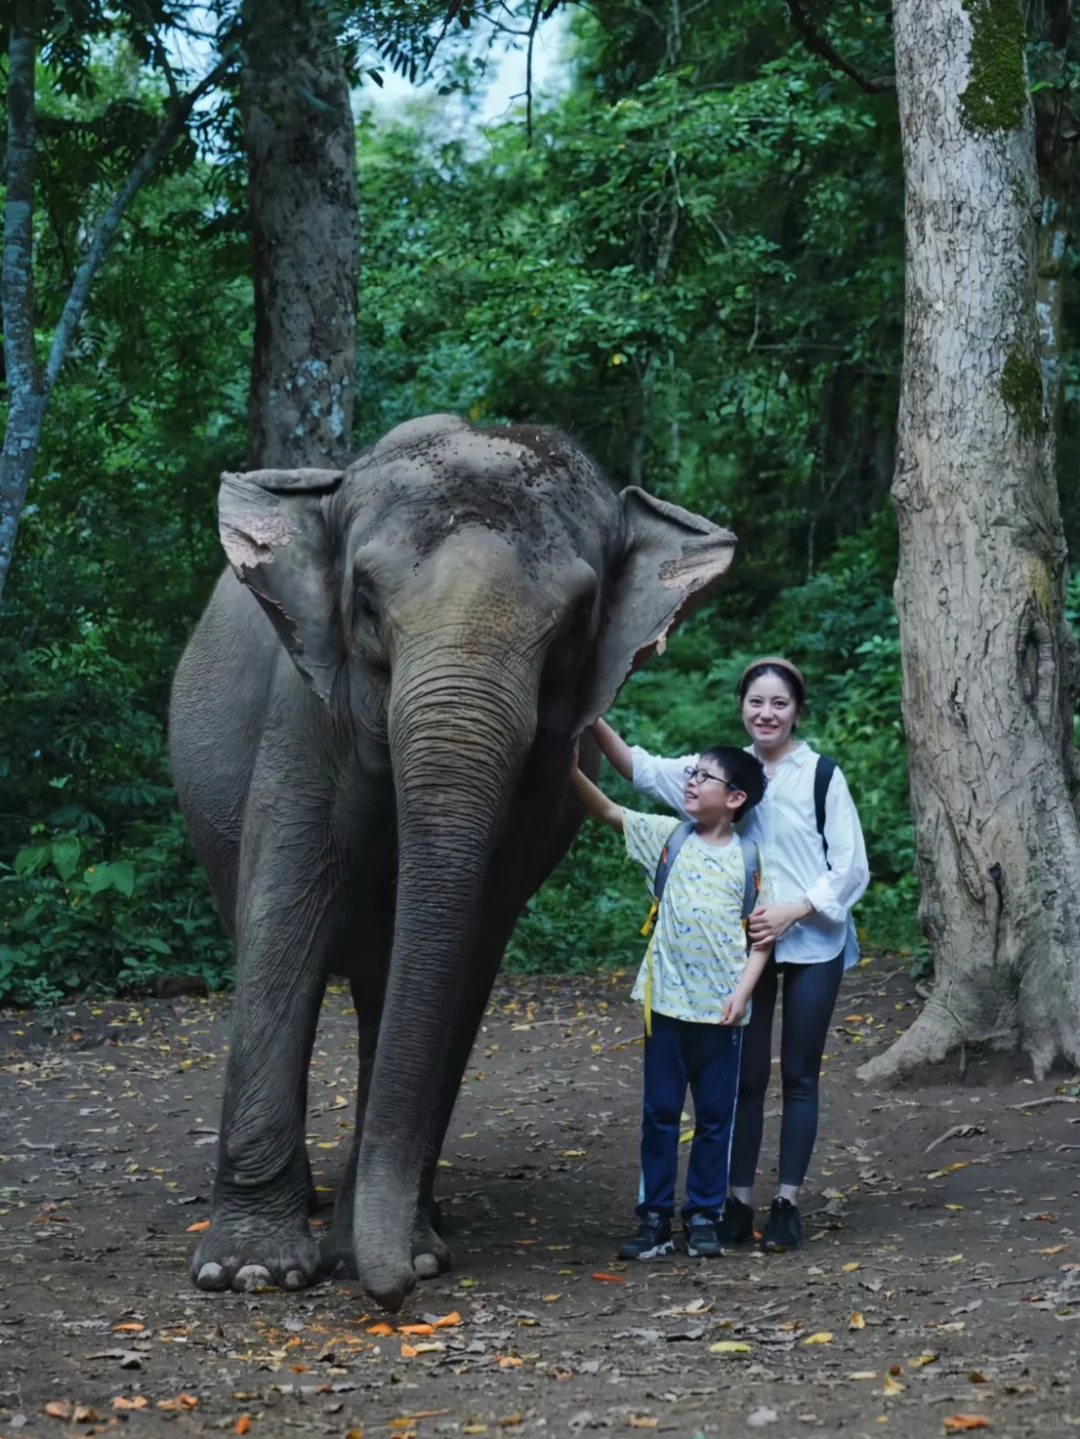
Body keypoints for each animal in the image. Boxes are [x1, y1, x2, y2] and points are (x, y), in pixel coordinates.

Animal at [168, 411, 742, 1312]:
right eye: (365, 601)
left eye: (576, 623)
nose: (393, 1294)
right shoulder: (304, 719)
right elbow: (286, 919)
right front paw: (251, 1273)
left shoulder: (542, 780)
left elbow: (468, 945)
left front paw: (408, 1253)